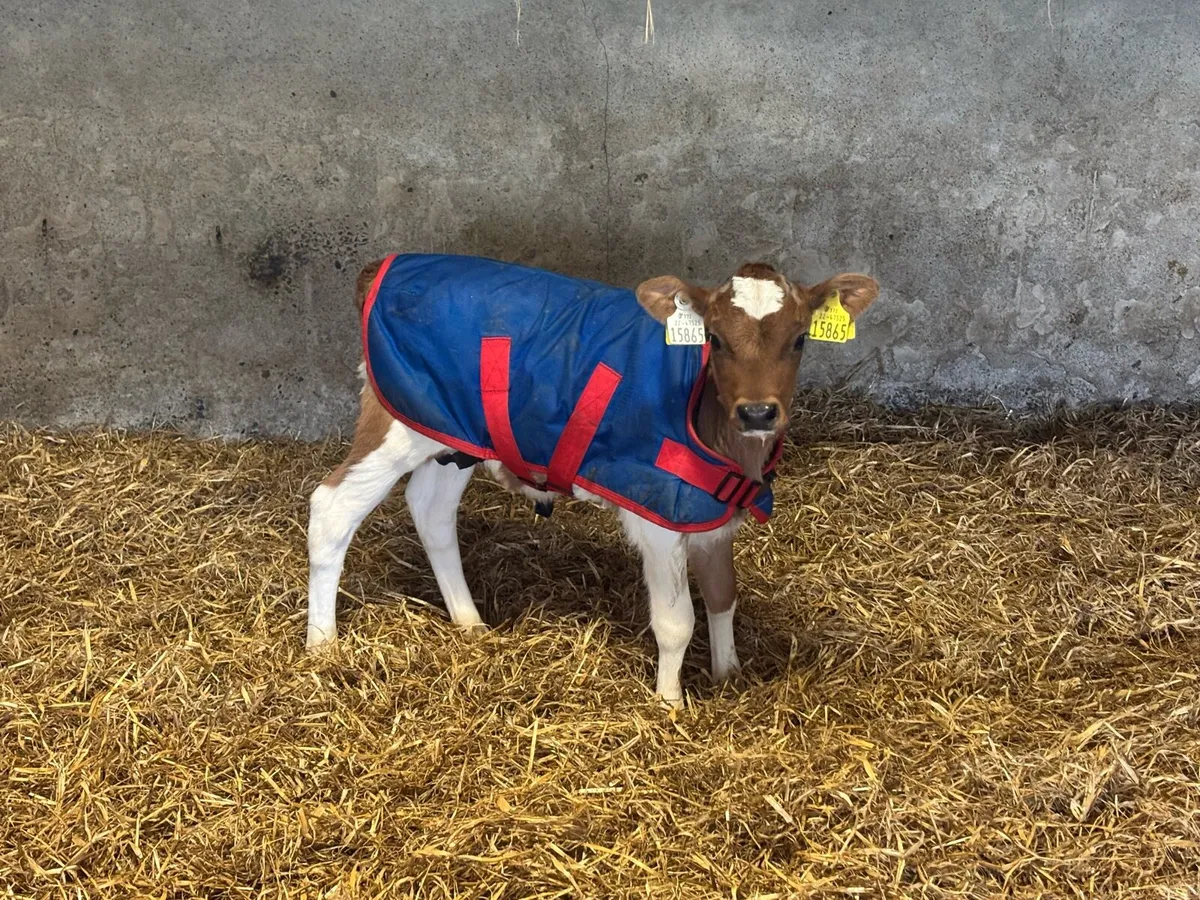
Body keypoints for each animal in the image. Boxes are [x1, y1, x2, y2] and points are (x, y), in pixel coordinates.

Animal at [305, 253, 879, 706]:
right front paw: (670, 703)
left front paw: (728, 675)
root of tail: (381, 266)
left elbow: (722, 596)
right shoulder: (659, 520)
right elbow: (677, 622)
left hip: (452, 436)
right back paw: (322, 645)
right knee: (331, 508)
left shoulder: (709, 516)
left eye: (800, 338)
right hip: (393, 426)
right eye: (714, 339)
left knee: (431, 509)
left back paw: (470, 622)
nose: (758, 412)